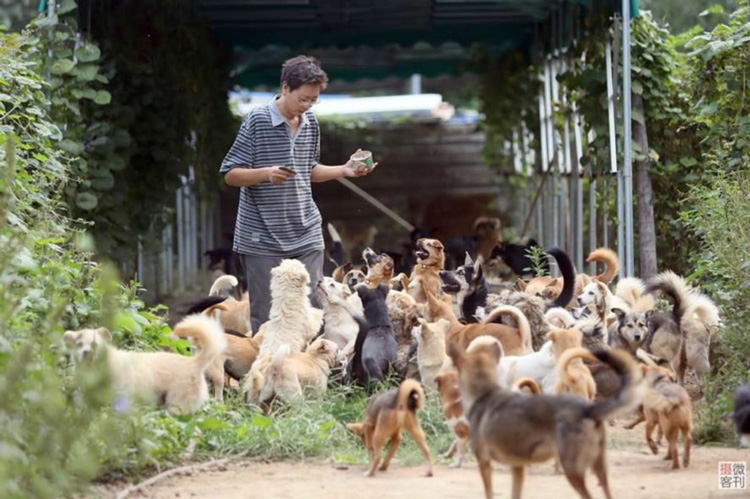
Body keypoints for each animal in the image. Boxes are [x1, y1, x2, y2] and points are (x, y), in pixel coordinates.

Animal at [446, 342, 648, 499]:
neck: (485, 393)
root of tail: (587, 409)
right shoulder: (518, 467)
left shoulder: (484, 463)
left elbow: (488, 493)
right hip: (600, 471)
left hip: (573, 471)